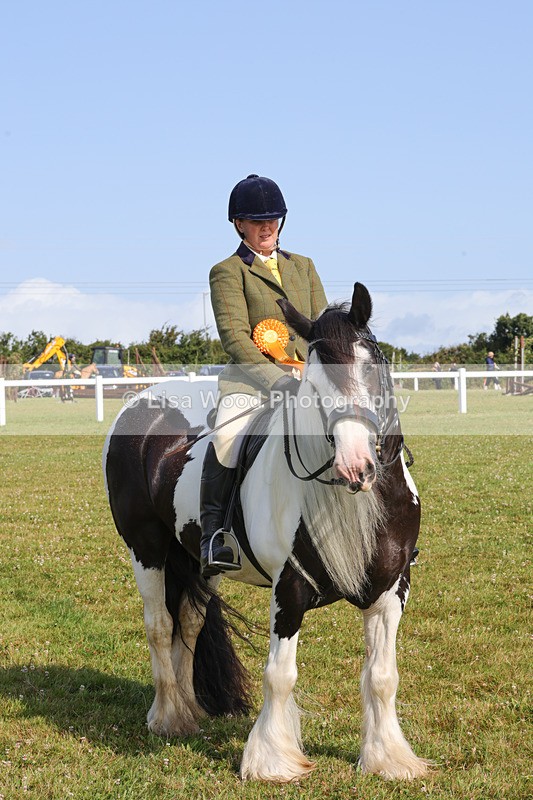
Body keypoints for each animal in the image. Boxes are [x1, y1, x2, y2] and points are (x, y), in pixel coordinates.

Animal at [103, 282, 430, 783]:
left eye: (372, 369)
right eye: (313, 385)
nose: (356, 466)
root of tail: (143, 401)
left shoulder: (391, 589)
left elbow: (382, 676)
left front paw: (388, 758)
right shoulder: (289, 588)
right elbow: (280, 674)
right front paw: (272, 760)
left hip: (198, 558)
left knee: (190, 624)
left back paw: (190, 707)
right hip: (147, 548)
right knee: (159, 625)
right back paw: (170, 716)